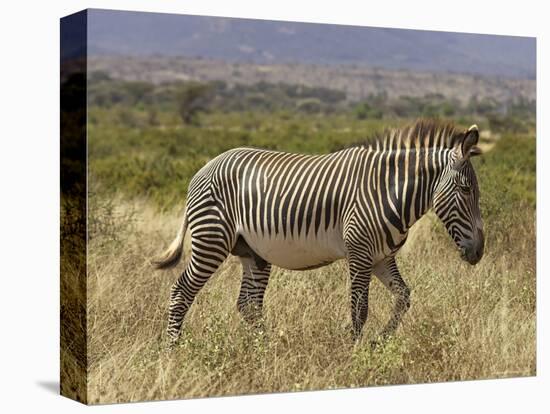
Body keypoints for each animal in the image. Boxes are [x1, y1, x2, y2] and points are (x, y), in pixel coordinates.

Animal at [153, 119, 486, 342]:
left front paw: (380, 341)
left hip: (252, 251)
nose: (479, 252)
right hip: (212, 239)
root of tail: (204, 168)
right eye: (466, 189)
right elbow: (359, 309)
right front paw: (354, 354)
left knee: (248, 305)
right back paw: (173, 350)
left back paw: (266, 349)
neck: (387, 191)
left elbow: (404, 296)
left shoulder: (381, 257)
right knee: (182, 291)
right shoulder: (360, 253)